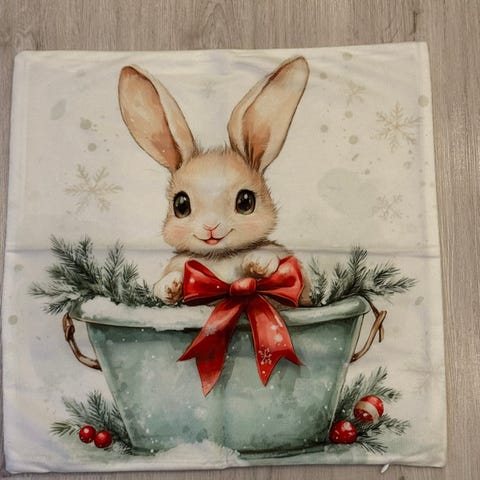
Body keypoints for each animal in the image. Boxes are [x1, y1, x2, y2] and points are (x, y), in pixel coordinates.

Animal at [118, 56, 312, 306]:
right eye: (181, 205)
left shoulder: (300, 285)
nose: (210, 227)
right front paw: (169, 287)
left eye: (246, 202)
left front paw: (259, 263)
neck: (220, 256)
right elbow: (166, 280)